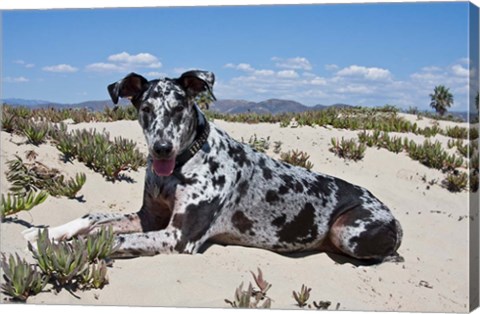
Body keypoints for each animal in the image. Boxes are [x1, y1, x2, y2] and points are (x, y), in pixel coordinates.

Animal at [22, 70, 402, 262]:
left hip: (347, 231)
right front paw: (47, 232)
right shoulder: (149, 217)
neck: (180, 166)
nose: (161, 148)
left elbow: (112, 240)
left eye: (179, 107)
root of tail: (389, 212)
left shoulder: (177, 237)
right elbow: (94, 218)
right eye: (146, 109)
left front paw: (62, 248)